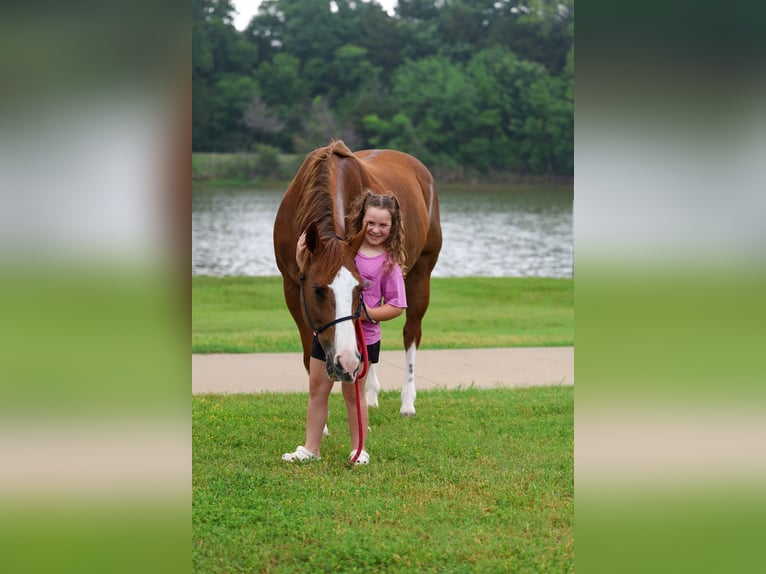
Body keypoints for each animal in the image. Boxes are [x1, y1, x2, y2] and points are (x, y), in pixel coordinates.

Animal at [273, 140, 442, 415]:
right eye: (317, 290)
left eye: (358, 289)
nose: (346, 362)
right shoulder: (292, 288)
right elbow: (310, 355)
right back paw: (371, 394)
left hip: (420, 274)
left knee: (411, 332)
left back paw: (407, 401)